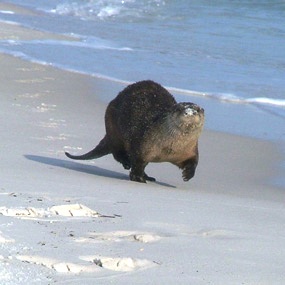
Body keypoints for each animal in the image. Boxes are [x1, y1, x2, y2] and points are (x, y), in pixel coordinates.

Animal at [65, 80, 203, 182]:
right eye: (179, 108)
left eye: (197, 109)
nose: (190, 112)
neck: (169, 148)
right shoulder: (143, 143)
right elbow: (138, 161)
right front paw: (137, 177)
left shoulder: (190, 150)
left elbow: (194, 161)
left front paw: (187, 174)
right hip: (114, 128)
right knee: (117, 151)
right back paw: (127, 163)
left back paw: (148, 176)